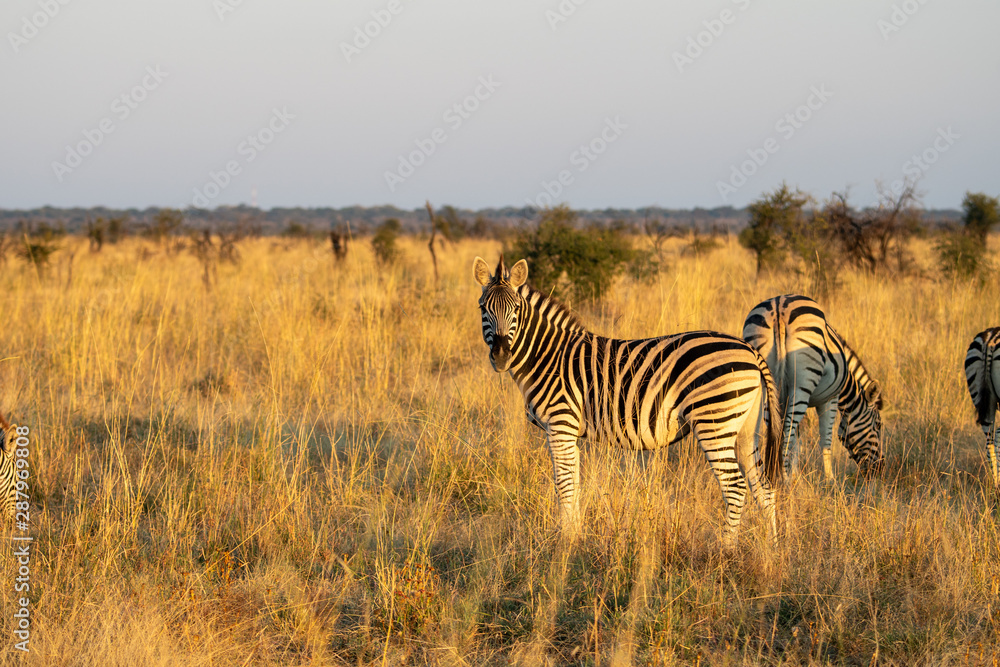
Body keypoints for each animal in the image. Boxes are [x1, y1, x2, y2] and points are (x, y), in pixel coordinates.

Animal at [473, 255, 782, 545]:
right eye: (483, 309)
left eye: (516, 309)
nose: (501, 357)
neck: (547, 356)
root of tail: (750, 350)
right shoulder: (568, 431)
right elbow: (575, 481)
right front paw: (576, 536)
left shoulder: (560, 424)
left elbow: (564, 484)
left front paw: (565, 541)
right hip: (745, 428)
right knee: (762, 487)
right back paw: (772, 548)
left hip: (715, 422)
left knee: (735, 488)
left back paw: (726, 550)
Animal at [742, 294, 884, 479]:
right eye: (878, 425)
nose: (880, 468)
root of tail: (779, 308)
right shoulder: (831, 399)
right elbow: (826, 439)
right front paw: (830, 479)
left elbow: (797, 440)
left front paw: (795, 475)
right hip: (802, 383)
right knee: (787, 430)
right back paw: (785, 480)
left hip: (768, 383)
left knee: (778, 429)